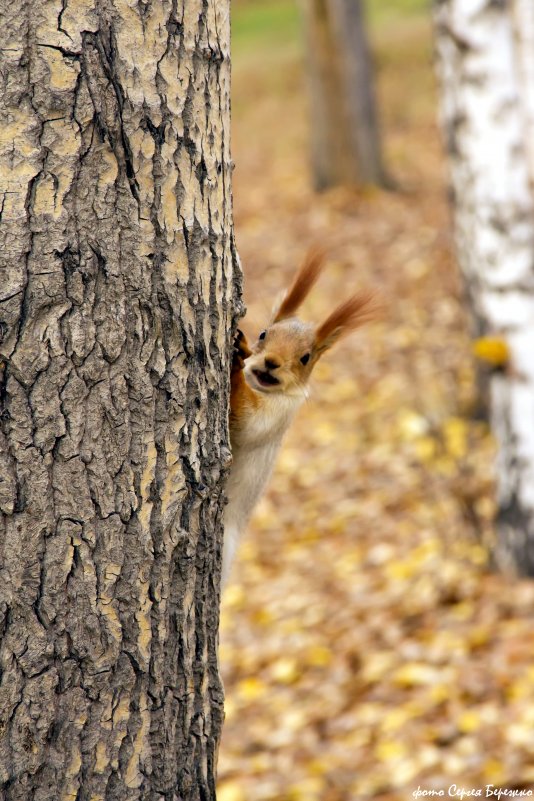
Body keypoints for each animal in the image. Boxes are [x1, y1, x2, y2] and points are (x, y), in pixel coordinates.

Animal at [224, 253, 378, 584]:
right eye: (264, 333)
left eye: (305, 357)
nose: (271, 362)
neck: (261, 387)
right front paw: (242, 348)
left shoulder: (279, 415)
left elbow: (249, 424)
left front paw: (238, 363)